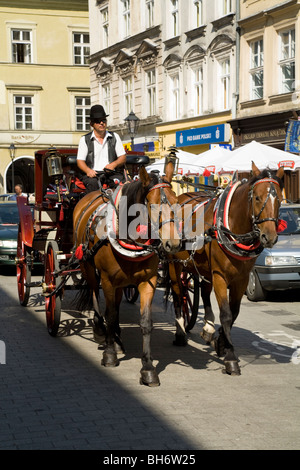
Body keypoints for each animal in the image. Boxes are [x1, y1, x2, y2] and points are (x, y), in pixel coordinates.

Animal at [72, 162, 180, 386]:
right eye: (152, 205)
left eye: (176, 202)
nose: (172, 244)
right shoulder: (107, 280)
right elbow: (110, 315)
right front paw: (109, 355)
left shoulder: (147, 282)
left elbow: (145, 323)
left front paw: (148, 369)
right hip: (88, 267)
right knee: (94, 293)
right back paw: (100, 331)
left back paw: (118, 338)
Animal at [166, 163, 284, 376]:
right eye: (257, 197)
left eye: (279, 198)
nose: (269, 237)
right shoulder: (220, 276)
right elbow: (227, 315)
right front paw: (230, 358)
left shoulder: (241, 279)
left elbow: (234, 313)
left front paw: (220, 343)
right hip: (175, 264)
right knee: (179, 295)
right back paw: (180, 333)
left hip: (203, 267)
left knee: (204, 293)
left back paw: (208, 327)